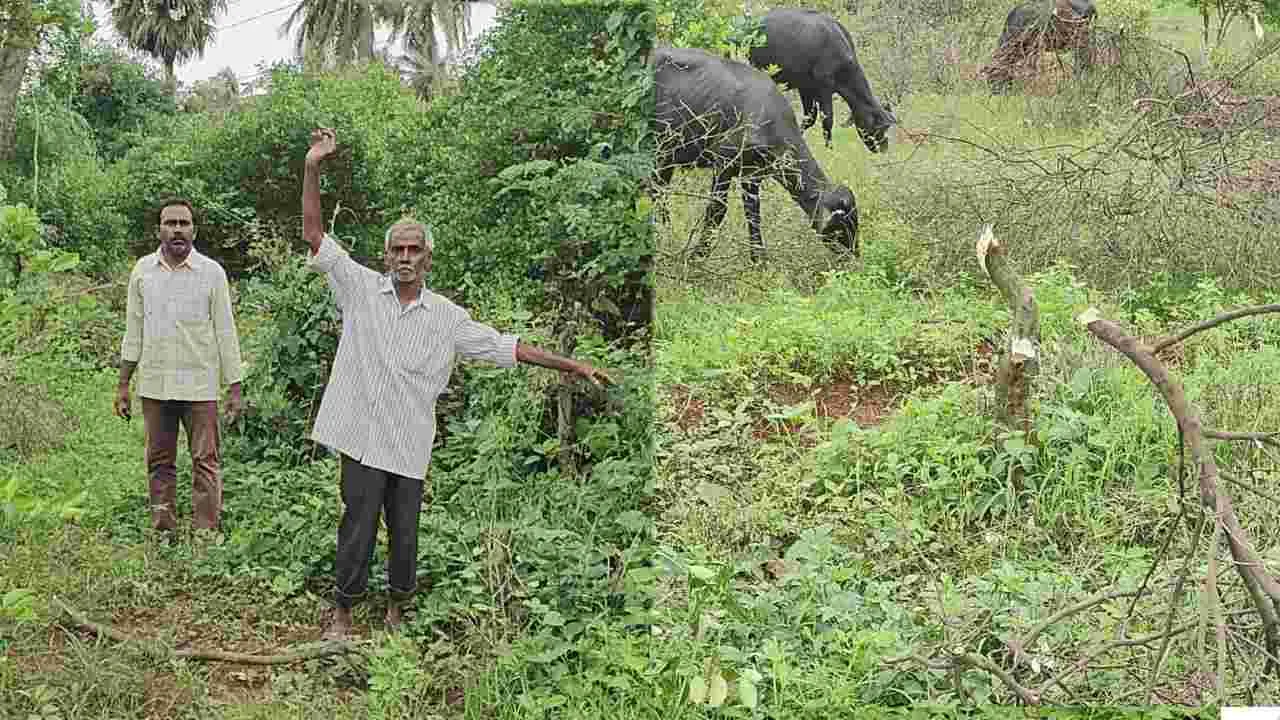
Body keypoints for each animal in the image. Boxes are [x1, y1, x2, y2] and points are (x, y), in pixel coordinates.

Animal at [650, 46, 860, 262]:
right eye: (842, 226)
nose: (854, 254)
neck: (767, 119)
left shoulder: (752, 175)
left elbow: (753, 214)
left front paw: (759, 259)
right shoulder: (724, 163)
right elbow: (717, 209)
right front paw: (698, 254)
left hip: (666, 158)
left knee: (659, 191)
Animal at [747, 7, 896, 150]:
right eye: (879, 128)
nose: (883, 149)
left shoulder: (807, 88)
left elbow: (810, 118)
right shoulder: (824, 87)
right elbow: (827, 119)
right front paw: (829, 149)